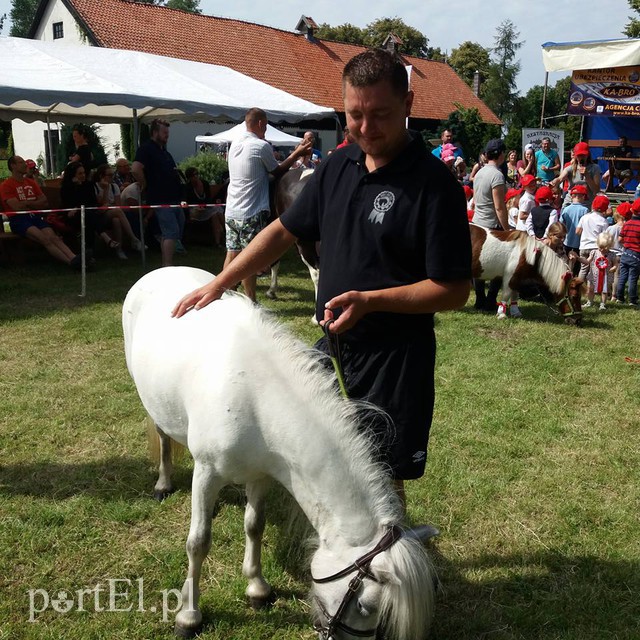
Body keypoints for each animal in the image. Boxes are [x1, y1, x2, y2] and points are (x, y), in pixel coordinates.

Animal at [123, 266, 435, 640]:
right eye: (364, 606)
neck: (254, 398)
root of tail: (160, 270)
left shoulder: (262, 473)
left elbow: (254, 525)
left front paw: (257, 588)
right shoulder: (207, 471)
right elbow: (198, 542)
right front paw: (189, 615)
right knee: (163, 437)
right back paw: (163, 483)